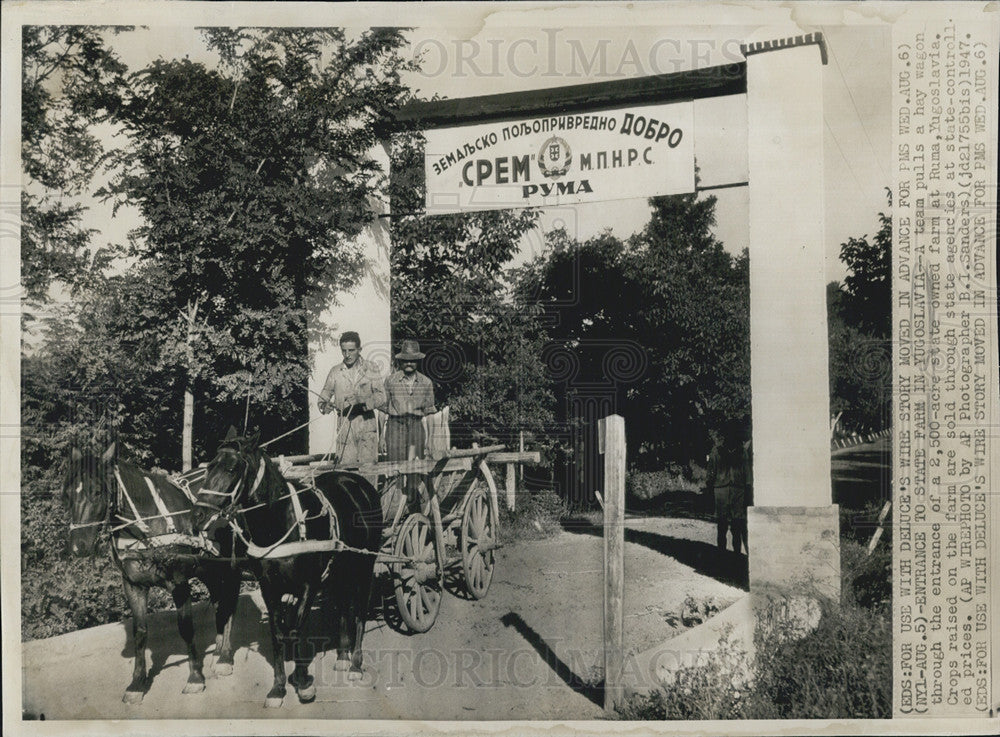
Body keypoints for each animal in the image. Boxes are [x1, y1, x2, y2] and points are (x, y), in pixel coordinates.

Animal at [63, 442, 241, 700]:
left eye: (96, 491)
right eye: (68, 494)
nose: (79, 547)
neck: (149, 524)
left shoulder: (179, 582)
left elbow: (185, 627)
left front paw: (195, 678)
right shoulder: (133, 584)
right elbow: (140, 631)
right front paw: (137, 683)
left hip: (229, 566)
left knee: (230, 602)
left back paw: (225, 656)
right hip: (209, 568)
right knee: (219, 602)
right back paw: (218, 650)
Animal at [197, 432, 384, 708]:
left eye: (232, 468)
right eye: (209, 467)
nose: (199, 513)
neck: (281, 520)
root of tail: (360, 483)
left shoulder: (309, 585)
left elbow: (296, 629)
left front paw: (303, 681)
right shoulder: (270, 588)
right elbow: (278, 632)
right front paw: (278, 687)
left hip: (364, 565)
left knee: (359, 610)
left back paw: (356, 665)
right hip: (340, 570)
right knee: (342, 606)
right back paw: (342, 656)